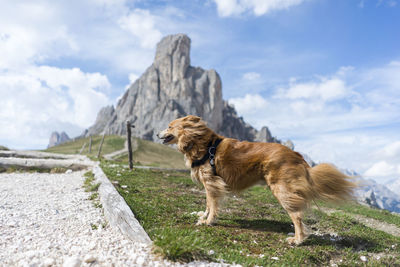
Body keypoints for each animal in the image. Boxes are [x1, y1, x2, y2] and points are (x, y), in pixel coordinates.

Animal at [158, 115, 354, 245]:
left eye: (169, 126)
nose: (157, 134)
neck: (202, 144)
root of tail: (296, 155)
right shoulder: (209, 184)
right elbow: (207, 204)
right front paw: (203, 217)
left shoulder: (212, 183)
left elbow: (212, 205)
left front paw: (209, 221)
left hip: (281, 190)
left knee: (297, 216)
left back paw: (297, 240)